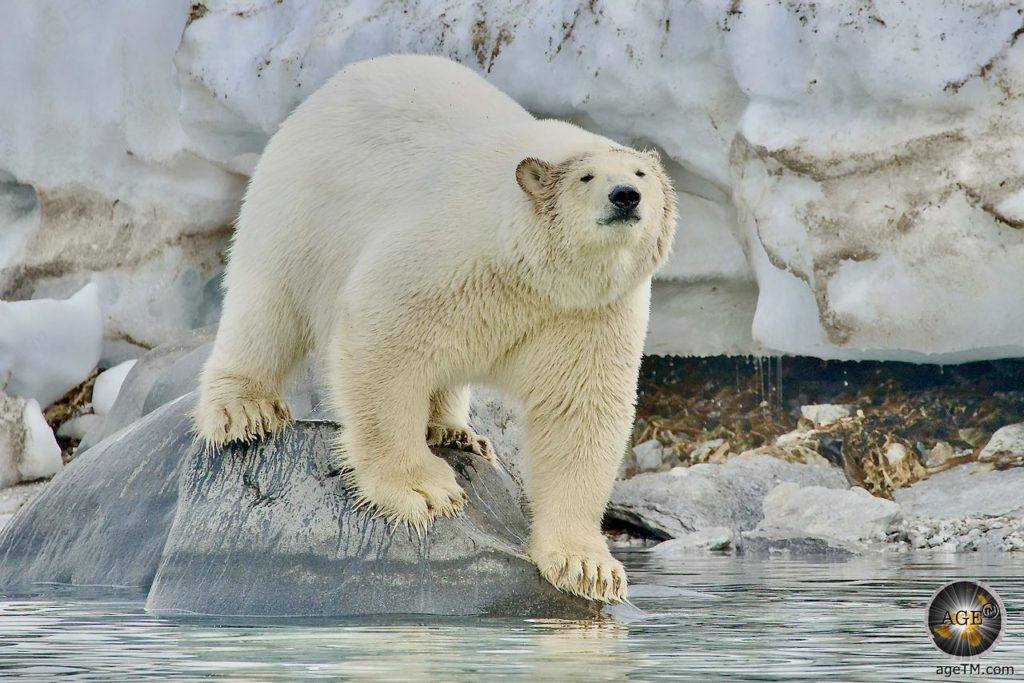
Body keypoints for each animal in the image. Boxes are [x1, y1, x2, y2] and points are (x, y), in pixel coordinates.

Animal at [196, 54, 679, 602]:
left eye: (641, 172)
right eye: (587, 177)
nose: (627, 195)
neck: (533, 271)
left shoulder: (587, 311)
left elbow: (580, 410)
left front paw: (588, 566)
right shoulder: (453, 253)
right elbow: (385, 338)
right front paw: (422, 490)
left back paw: (455, 432)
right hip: (298, 206)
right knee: (266, 304)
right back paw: (245, 409)